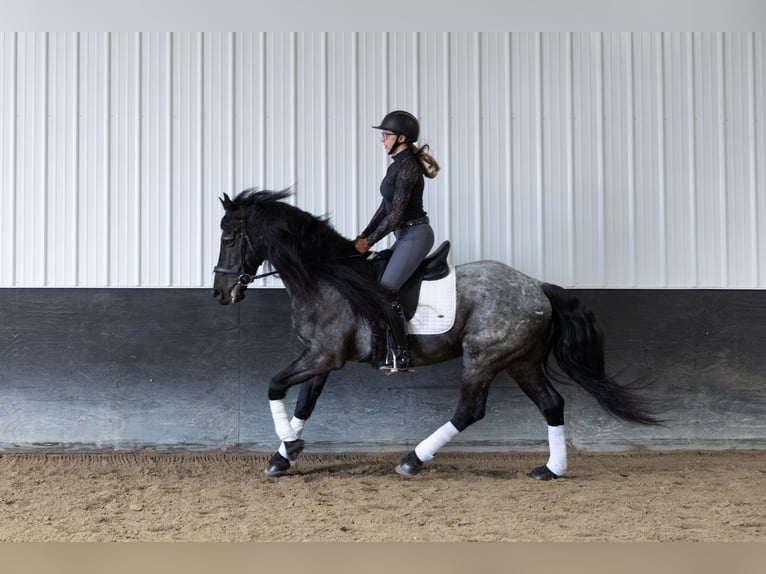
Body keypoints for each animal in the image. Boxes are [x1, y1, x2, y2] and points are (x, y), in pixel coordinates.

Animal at [212, 188, 658, 480]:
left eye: (230, 237)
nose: (220, 293)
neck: (325, 276)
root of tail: (538, 287)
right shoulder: (321, 357)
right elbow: (304, 404)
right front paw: (282, 457)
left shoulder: (324, 355)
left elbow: (274, 386)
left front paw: (290, 448)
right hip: (521, 361)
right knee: (551, 404)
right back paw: (551, 469)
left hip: (483, 357)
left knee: (469, 410)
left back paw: (412, 460)